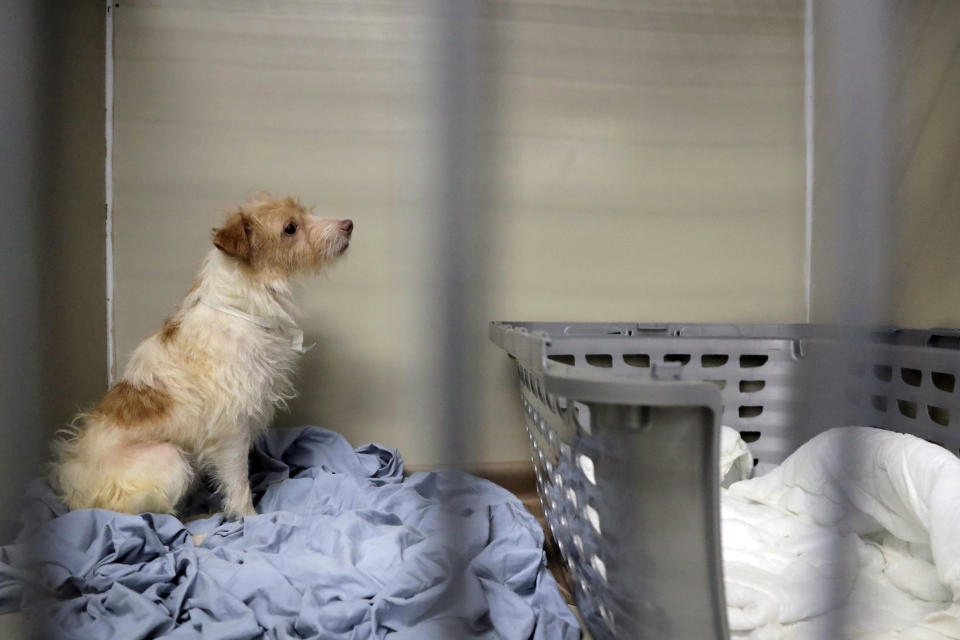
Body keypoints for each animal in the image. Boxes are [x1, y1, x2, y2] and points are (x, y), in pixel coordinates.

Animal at [49, 194, 352, 520]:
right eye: (290, 227)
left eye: (305, 212)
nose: (349, 224)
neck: (243, 305)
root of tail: (73, 491)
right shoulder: (231, 428)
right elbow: (238, 484)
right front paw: (250, 520)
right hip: (170, 457)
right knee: (150, 515)